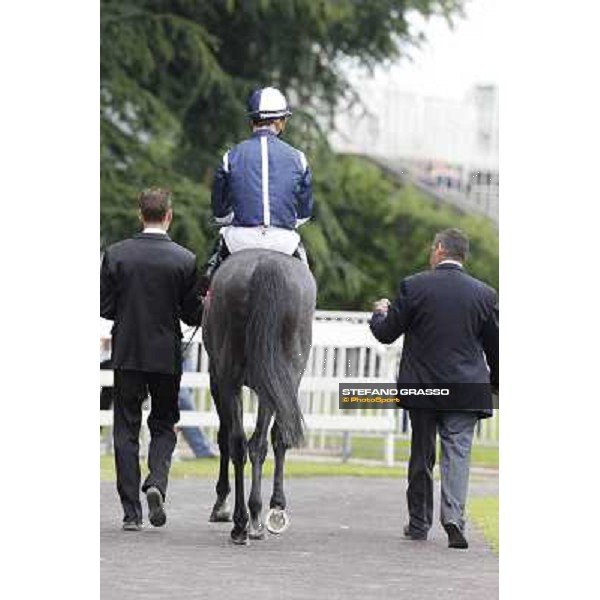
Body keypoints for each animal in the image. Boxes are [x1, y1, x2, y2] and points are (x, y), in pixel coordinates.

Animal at [202, 247, 316, 544]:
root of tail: (265, 264)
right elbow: (275, 438)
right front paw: (275, 508)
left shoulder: (217, 379)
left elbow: (225, 437)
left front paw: (223, 505)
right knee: (256, 443)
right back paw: (252, 518)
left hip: (232, 379)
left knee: (240, 442)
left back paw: (243, 521)